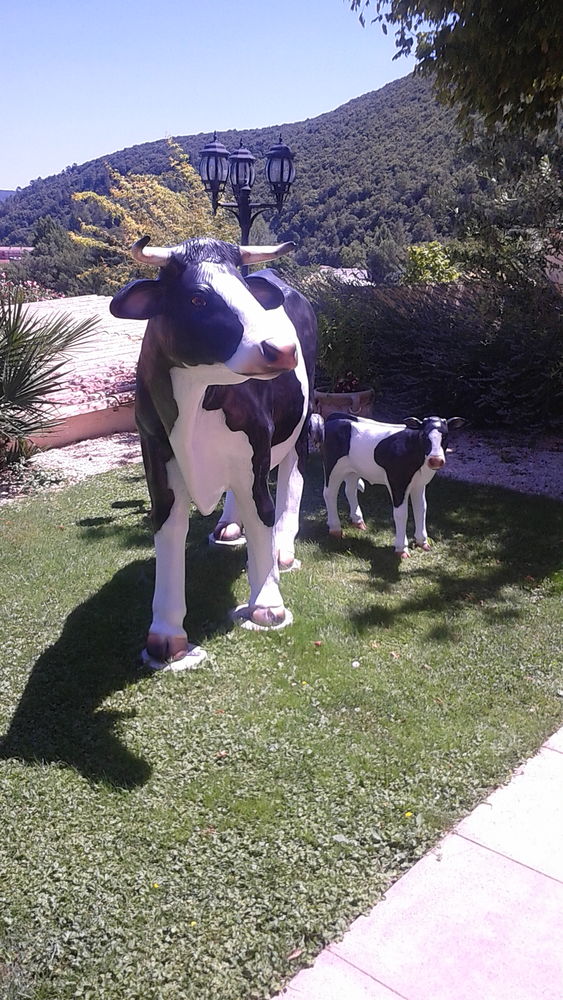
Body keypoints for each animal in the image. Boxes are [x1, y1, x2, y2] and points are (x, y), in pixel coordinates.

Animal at [109, 236, 317, 671]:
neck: (196, 397)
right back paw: (228, 526)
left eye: (245, 289)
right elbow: (168, 530)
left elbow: (262, 514)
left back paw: (283, 548)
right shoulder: (156, 455)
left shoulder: (257, 450)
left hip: (303, 418)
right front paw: (166, 634)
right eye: (197, 298)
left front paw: (267, 603)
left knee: (293, 473)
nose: (281, 349)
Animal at [311, 412, 465, 557]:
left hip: (353, 469)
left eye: (445, 435)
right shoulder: (397, 482)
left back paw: (358, 522)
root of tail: (335, 417)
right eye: (424, 435)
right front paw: (401, 549)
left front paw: (423, 542)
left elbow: (421, 509)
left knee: (350, 490)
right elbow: (401, 513)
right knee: (329, 493)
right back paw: (335, 529)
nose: (435, 460)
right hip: (332, 466)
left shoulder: (419, 484)